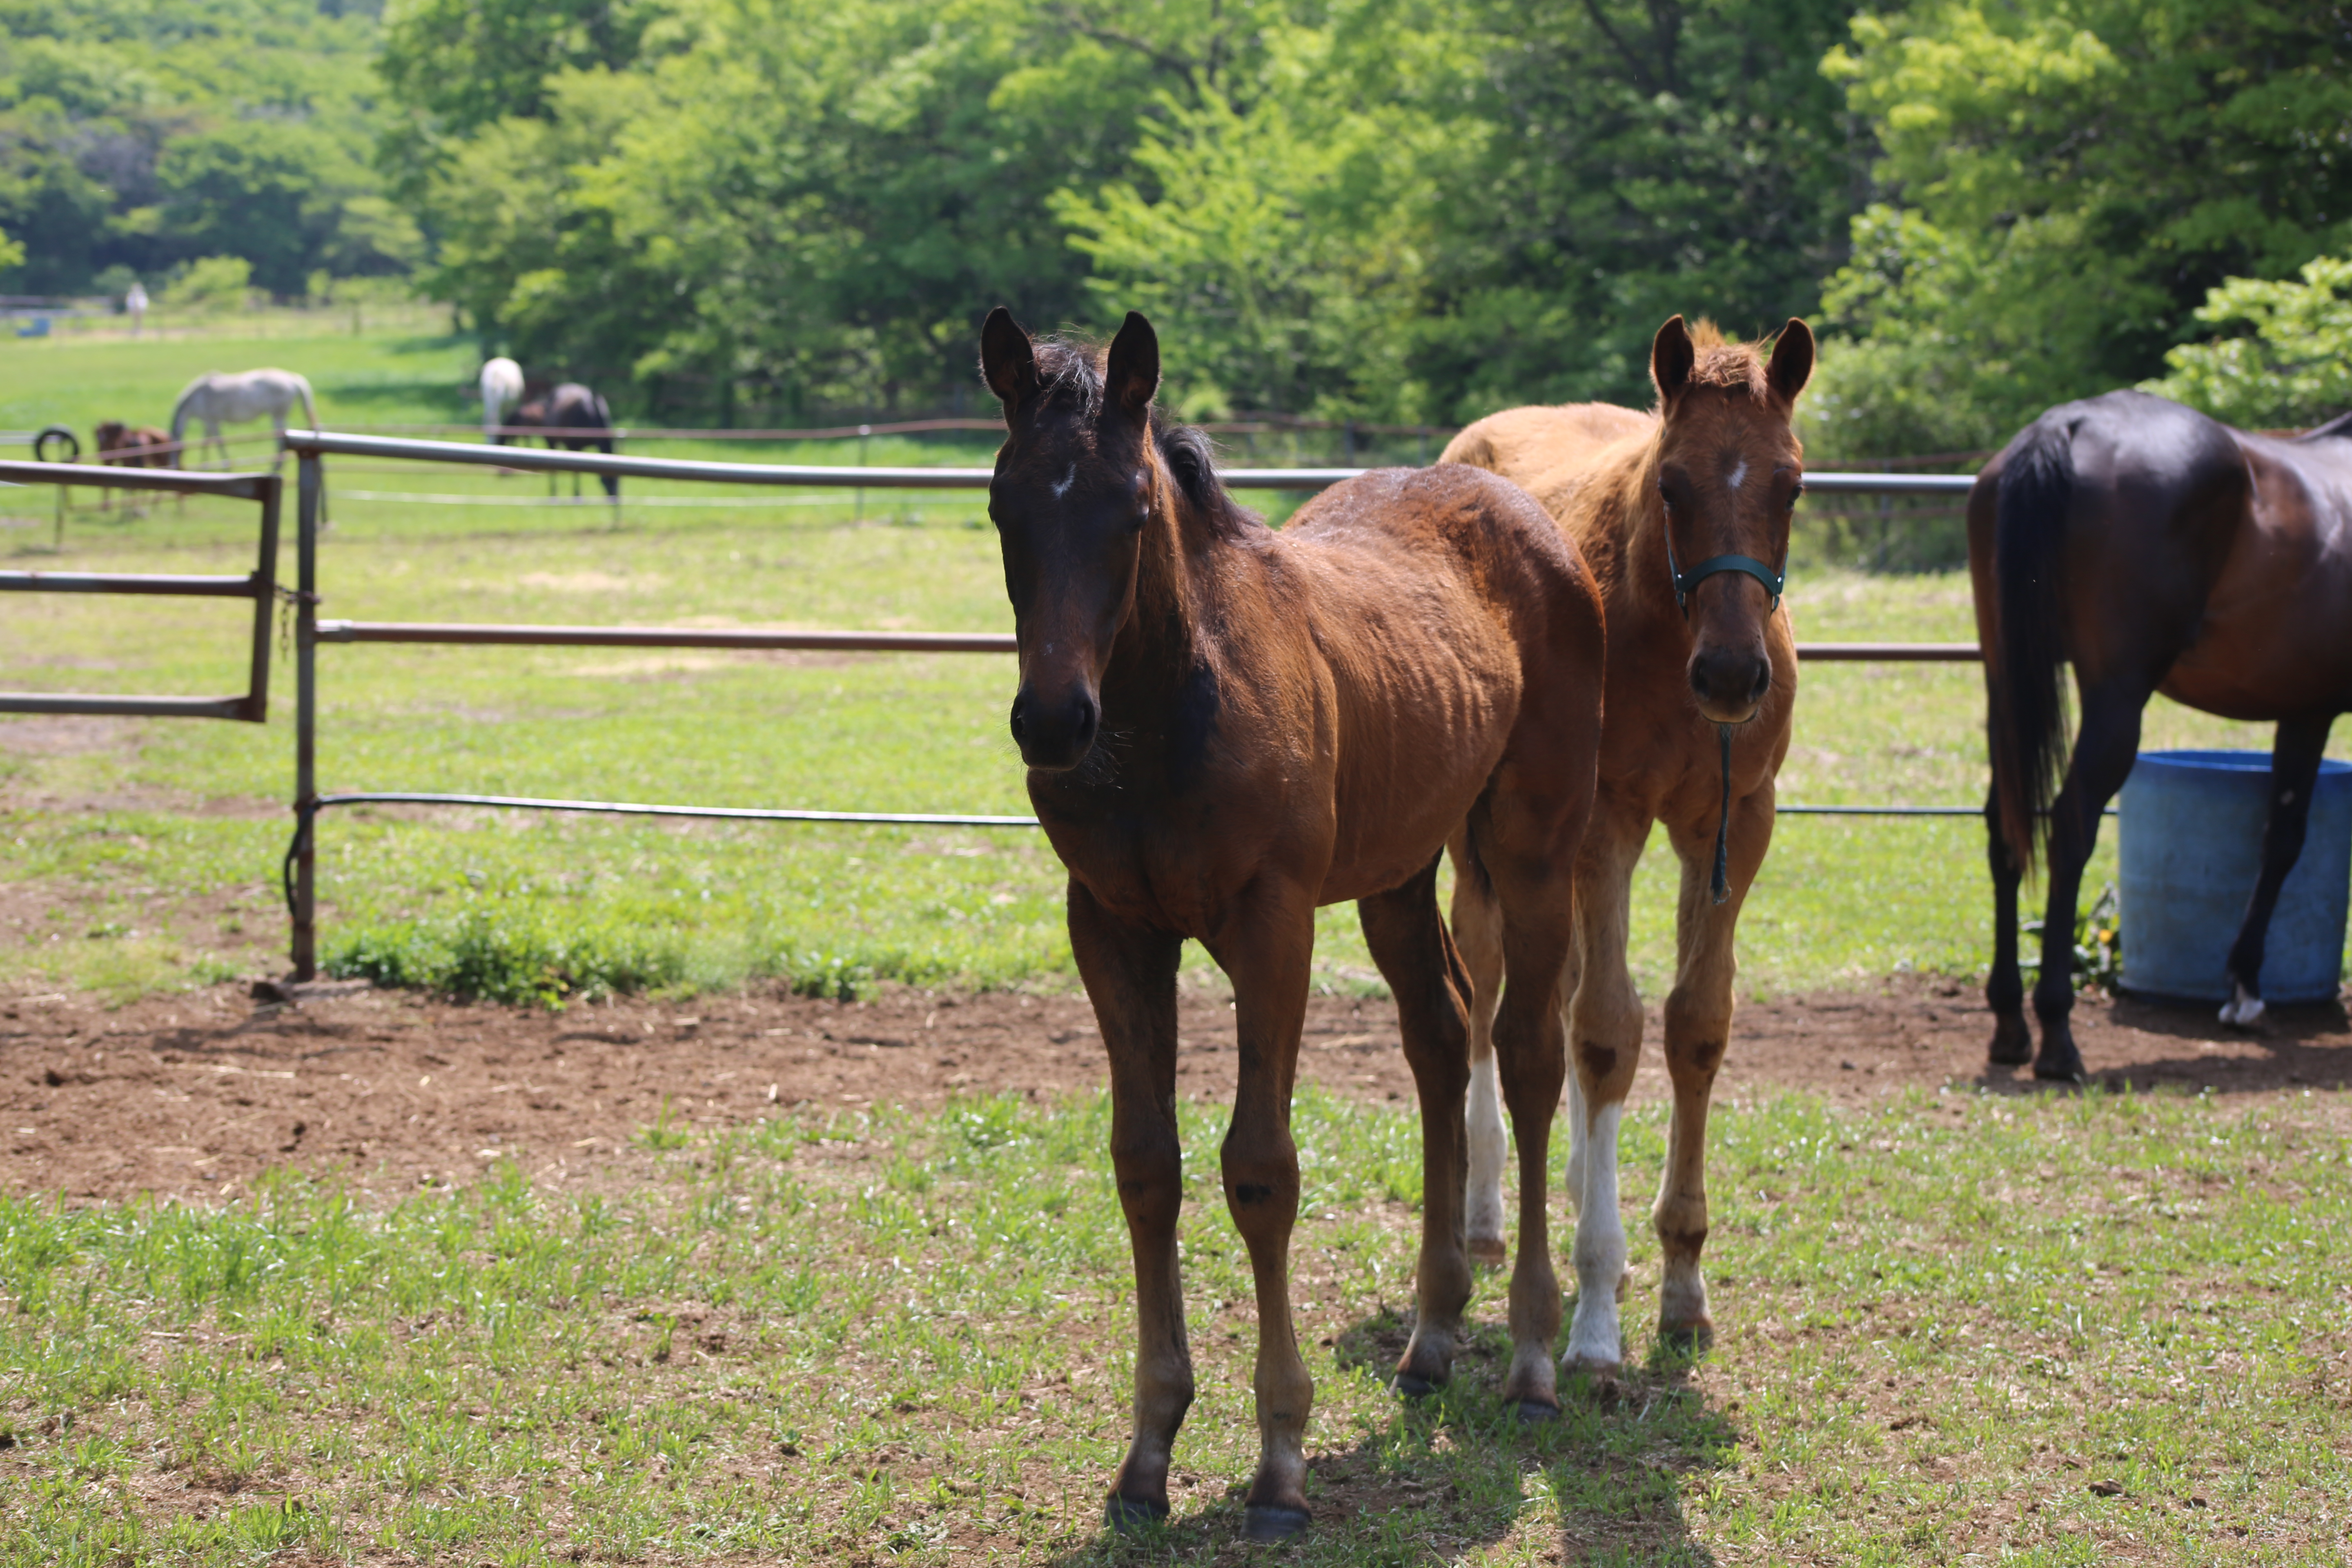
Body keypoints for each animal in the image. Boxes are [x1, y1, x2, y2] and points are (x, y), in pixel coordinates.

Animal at [169, 369, 317, 465]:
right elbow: (205, 444)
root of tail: (293, 379)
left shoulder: (213, 423)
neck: (197, 398)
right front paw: (204, 465)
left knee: (280, 444)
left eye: (178, 453)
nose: (175, 467)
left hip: (277, 417)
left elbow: (218, 443)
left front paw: (226, 465)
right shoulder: (208, 423)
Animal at [978, 310, 1618, 1542]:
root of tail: (1524, 515)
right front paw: (1146, 1455)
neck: (1164, 712)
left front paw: (1279, 1463)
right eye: (1002, 508)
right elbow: (1146, 1164)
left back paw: (1529, 1359)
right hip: (1399, 869)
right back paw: (1431, 1338)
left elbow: (1260, 1168)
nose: (1052, 720)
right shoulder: (1111, 927)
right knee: (1439, 1036)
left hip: (1531, 844)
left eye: (1131, 512)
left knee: (1522, 1053)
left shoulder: (1271, 924)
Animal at [1439, 319, 1806, 1373]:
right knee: (1486, 985)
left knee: (1555, 994)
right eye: (1672, 485)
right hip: (1485, 842)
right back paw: (1485, 1215)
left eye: (1790, 485)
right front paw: (1595, 1322)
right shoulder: (1606, 819)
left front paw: (1682, 1281)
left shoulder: (1733, 823)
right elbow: (1605, 1030)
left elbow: (1693, 1024)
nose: (1732, 674)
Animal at [1976, 390, 2352, 1081]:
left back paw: (2011, 1024)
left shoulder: (2305, 709)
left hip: (2006, 684)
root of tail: (2069, 423)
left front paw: (2244, 987)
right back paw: (2058, 1036)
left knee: (2006, 828)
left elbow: (2282, 839)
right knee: (2071, 824)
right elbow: (2286, 844)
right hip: (2118, 696)